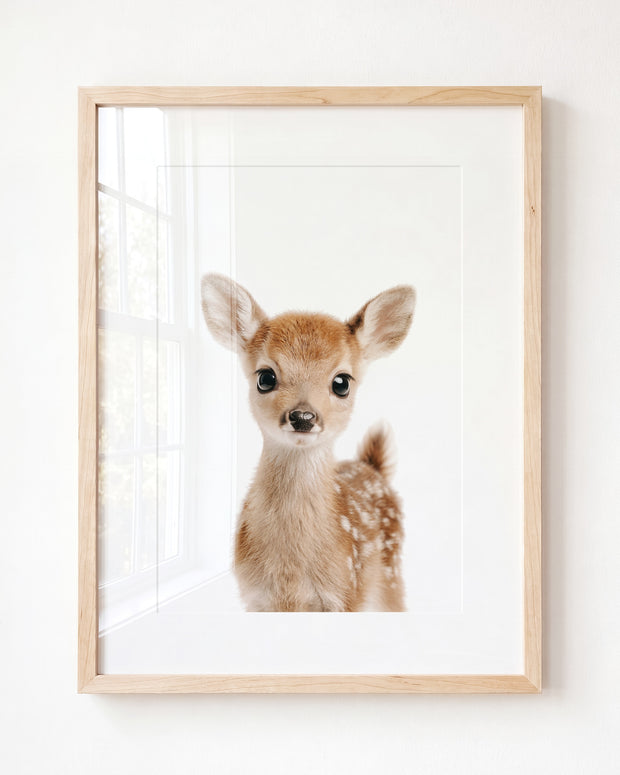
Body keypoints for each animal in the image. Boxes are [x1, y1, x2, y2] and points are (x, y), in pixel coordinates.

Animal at [200, 273, 416, 612]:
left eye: (342, 382)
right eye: (265, 377)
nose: (303, 416)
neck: (290, 575)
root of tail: (373, 467)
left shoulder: (345, 593)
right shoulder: (255, 597)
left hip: (390, 575)